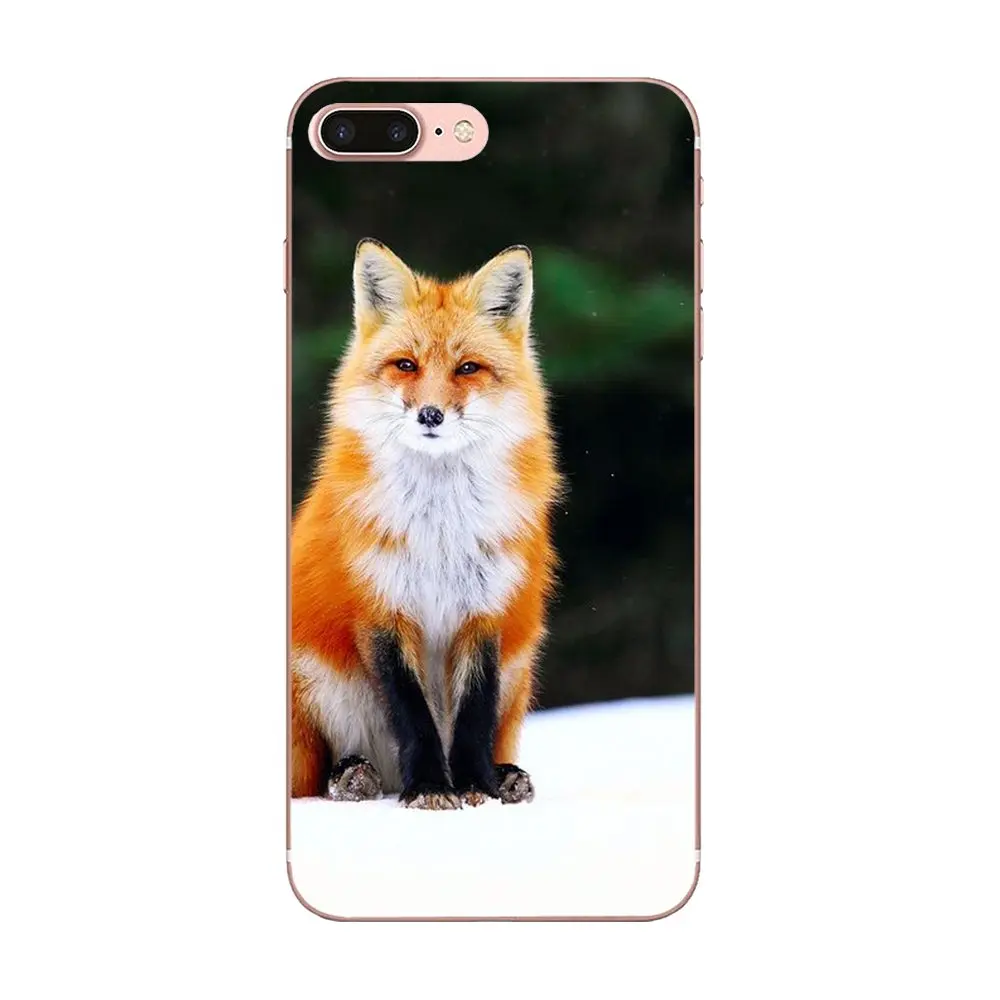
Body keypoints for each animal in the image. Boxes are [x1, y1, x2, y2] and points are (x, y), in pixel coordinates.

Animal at [290, 239, 561, 809]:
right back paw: (352, 776)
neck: (440, 532)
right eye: (406, 365)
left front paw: (476, 785)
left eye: (467, 368)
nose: (430, 415)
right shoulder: (381, 609)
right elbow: (412, 715)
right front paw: (433, 788)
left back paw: (507, 776)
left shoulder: (485, 612)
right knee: (318, 779)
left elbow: (474, 716)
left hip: (519, 669)